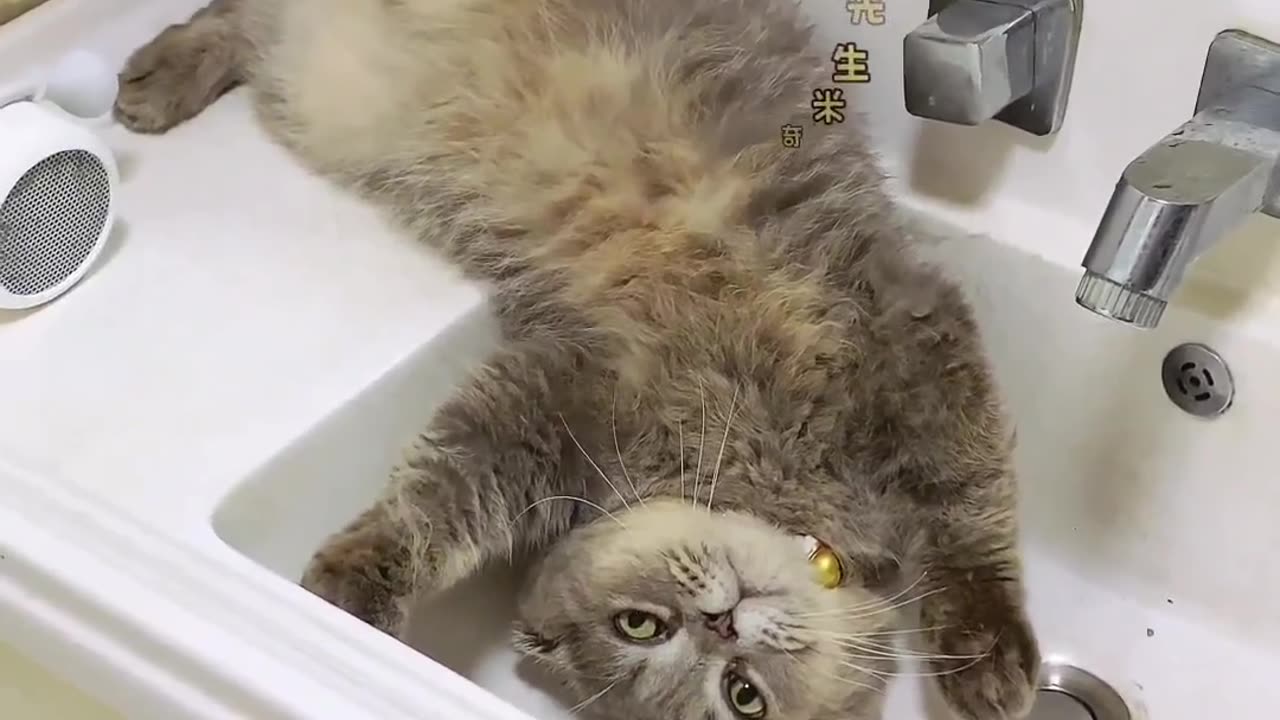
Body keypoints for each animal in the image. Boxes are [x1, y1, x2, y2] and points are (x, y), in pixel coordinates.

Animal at [115, 0, 1044, 712]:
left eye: (739, 694)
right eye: (642, 626)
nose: (720, 620)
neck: (773, 462)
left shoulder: (912, 346)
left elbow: (972, 515)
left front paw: (981, 645)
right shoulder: (572, 388)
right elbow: (437, 492)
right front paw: (358, 576)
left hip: (303, 80)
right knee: (231, 11)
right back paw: (160, 74)